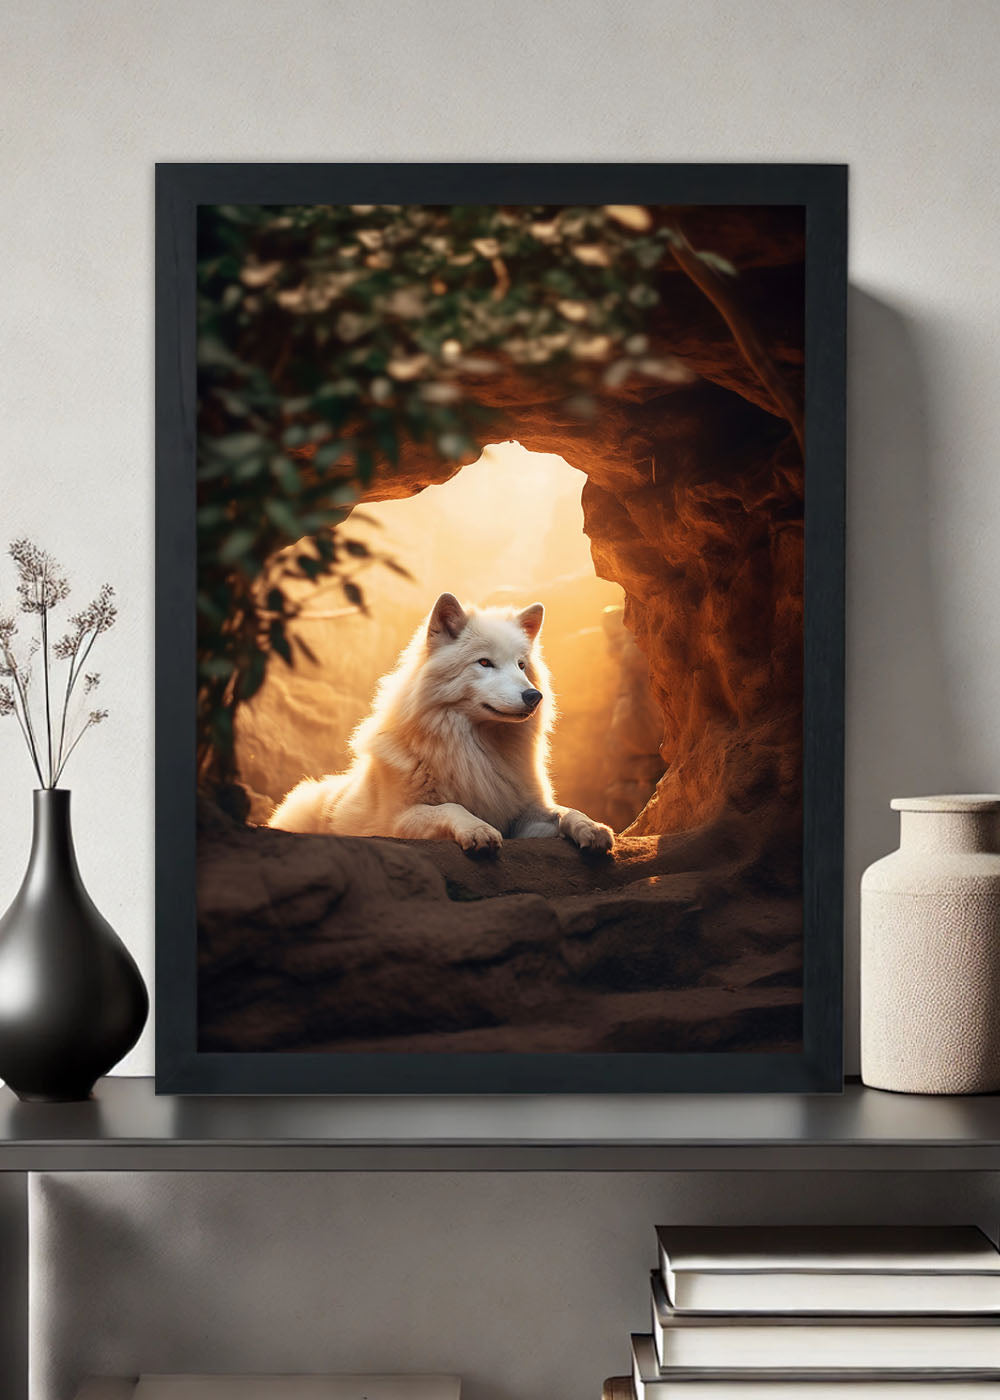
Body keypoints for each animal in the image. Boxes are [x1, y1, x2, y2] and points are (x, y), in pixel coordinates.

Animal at [268, 592, 614, 854]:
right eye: (484, 662)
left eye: (521, 666)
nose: (534, 696)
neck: (476, 752)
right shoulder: (397, 821)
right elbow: (451, 808)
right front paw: (478, 830)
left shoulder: (525, 815)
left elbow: (564, 810)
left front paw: (592, 827)